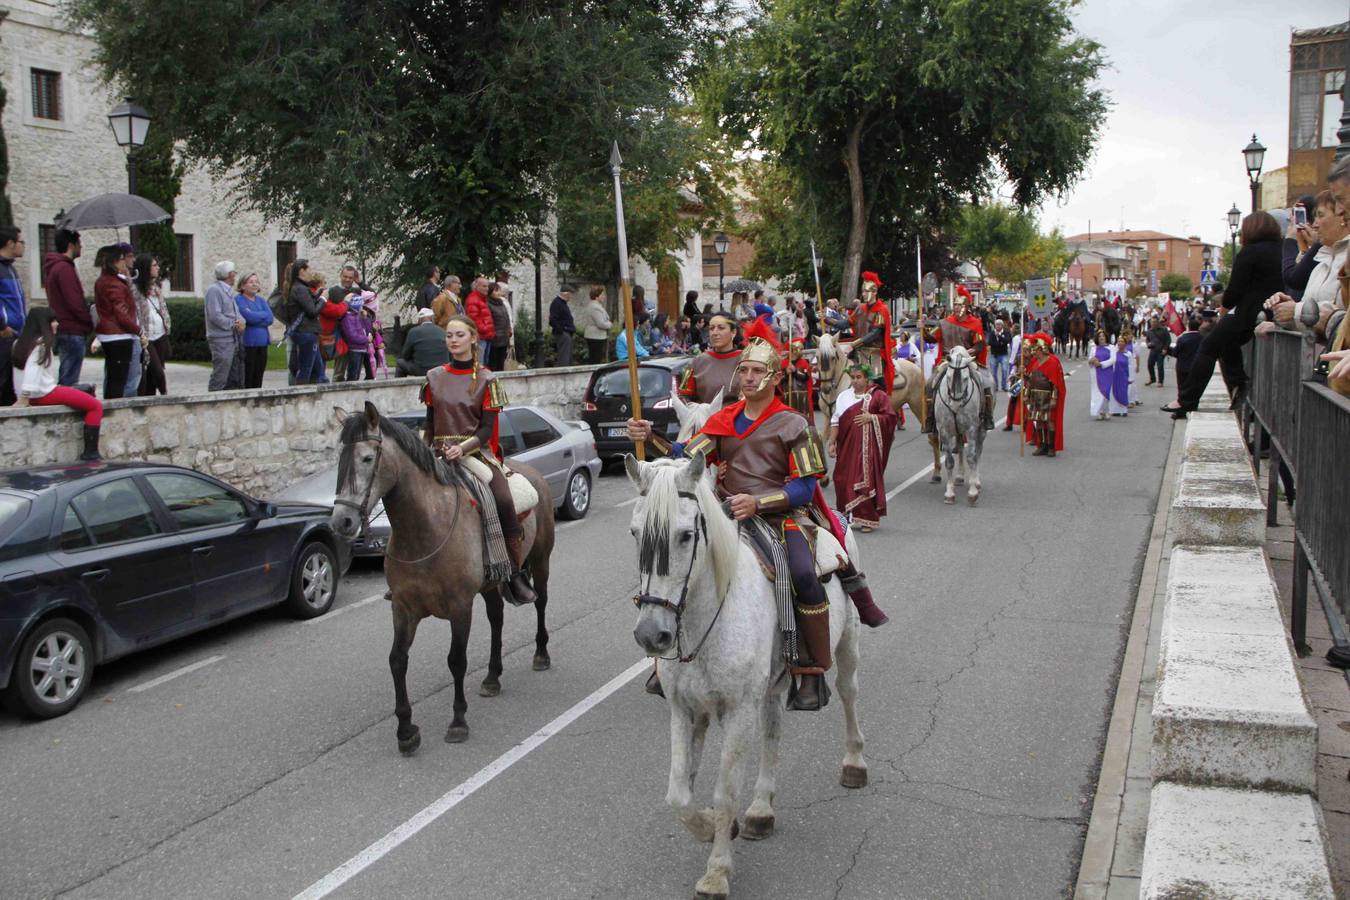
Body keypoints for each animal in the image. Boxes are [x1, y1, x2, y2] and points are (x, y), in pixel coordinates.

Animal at [623, 458, 864, 900]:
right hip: (770, 687)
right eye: (635, 533)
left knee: (848, 693)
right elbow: (678, 793)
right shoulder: (685, 711)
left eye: (686, 535)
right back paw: (760, 811)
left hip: (848, 643)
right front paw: (710, 828)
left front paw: (717, 871)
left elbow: (724, 791)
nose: (651, 634)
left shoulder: (737, 713)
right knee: (773, 731)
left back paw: (855, 763)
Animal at [934, 345, 988, 504]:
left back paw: (976, 481)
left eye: (965, 378)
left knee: (978, 452)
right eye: (948, 376)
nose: (956, 405)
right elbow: (949, 461)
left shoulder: (972, 429)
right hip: (958, 431)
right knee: (960, 447)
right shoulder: (944, 431)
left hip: (981, 431)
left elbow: (972, 457)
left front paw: (973, 492)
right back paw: (959, 476)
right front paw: (949, 493)